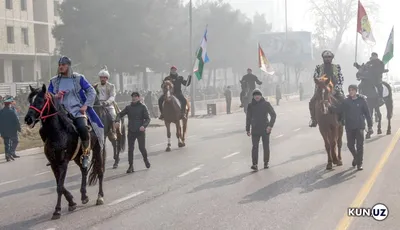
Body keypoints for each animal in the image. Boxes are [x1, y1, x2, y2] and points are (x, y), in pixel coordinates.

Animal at [24, 84, 106, 219]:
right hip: (78, 156)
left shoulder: (63, 163)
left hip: (98, 149)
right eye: (30, 101)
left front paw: (57, 210)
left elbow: (59, 186)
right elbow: (60, 185)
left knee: (100, 171)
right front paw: (72, 202)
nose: (28, 119)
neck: (58, 132)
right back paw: (84, 195)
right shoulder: (54, 163)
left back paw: (100, 197)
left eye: (40, 101)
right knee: (84, 170)